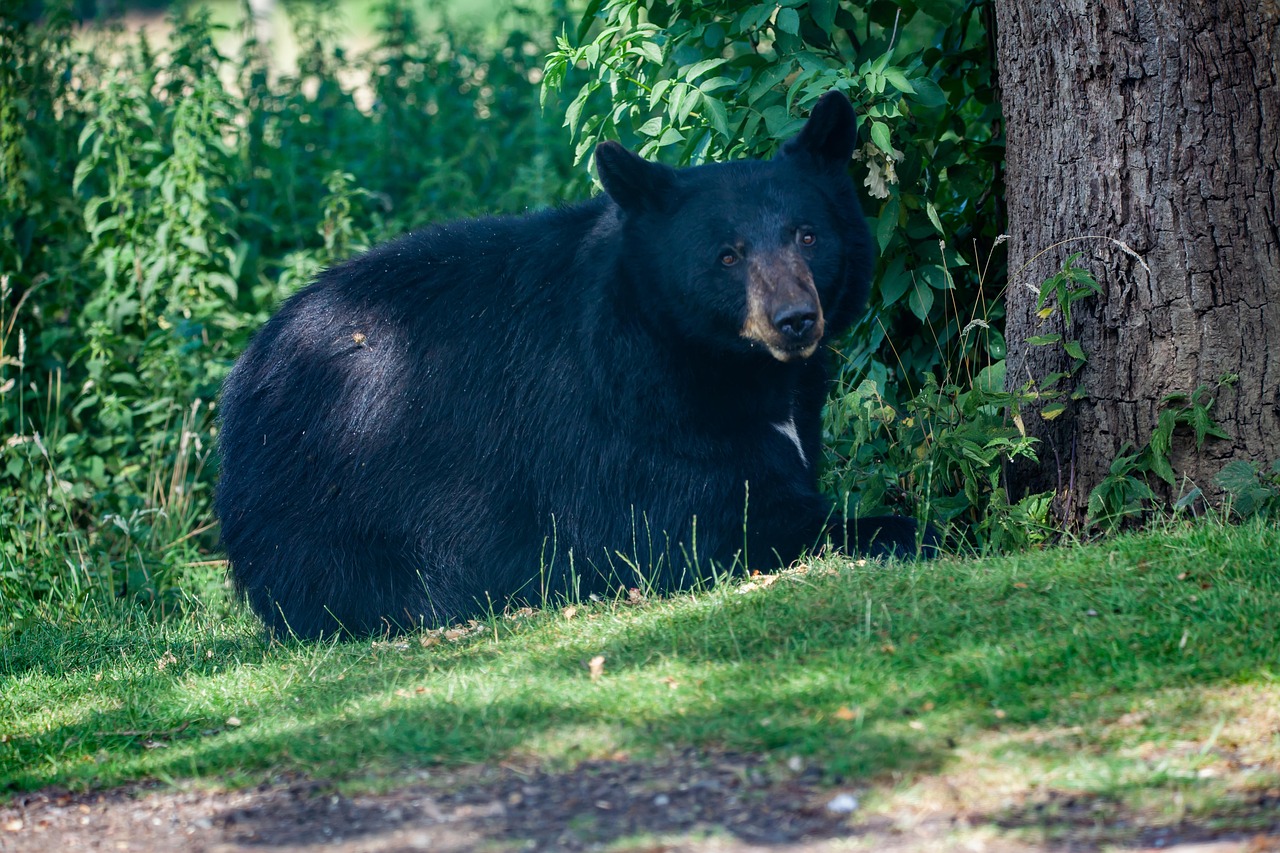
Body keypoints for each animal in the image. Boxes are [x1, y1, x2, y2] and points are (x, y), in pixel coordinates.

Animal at [215, 91, 930, 639]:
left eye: (808, 235)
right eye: (728, 255)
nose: (795, 320)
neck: (728, 365)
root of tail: (245, 374)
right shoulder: (628, 415)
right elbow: (708, 522)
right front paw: (905, 528)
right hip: (338, 487)